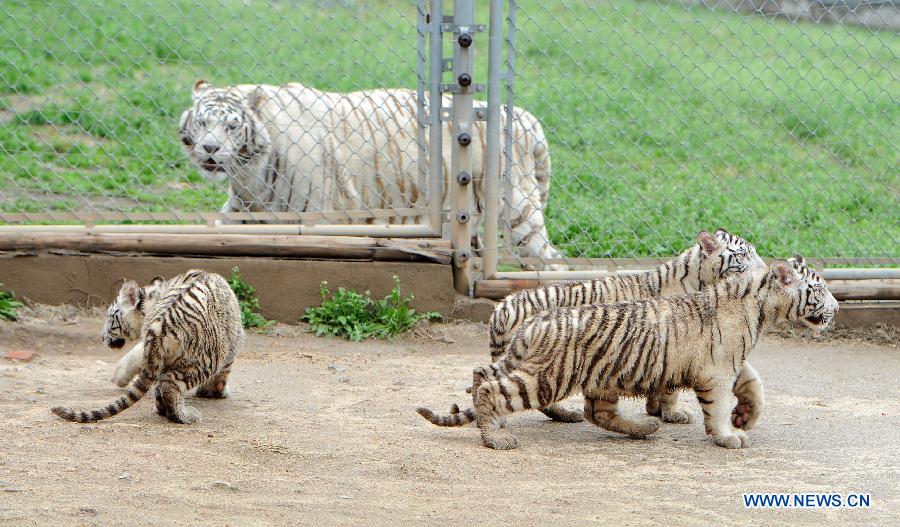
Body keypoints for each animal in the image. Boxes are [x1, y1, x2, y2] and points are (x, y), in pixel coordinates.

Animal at [178, 81, 564, 268]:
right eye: (203, 123)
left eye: (230, 127)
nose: (209, 149)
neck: (248, 171)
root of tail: (526, 117)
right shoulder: (244, 208)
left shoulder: (317, 215)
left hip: (517, 209)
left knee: (552, 262)